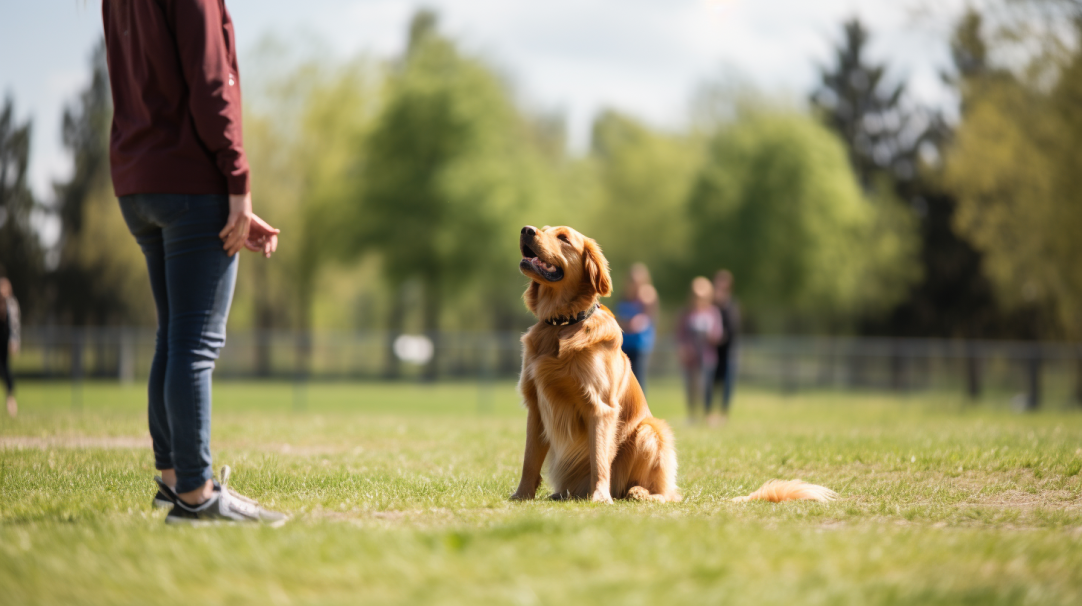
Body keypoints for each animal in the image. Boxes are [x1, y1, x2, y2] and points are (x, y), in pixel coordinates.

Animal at [506, 225, 675, 504]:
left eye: (564, 238)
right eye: (543, 229)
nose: (526, 229)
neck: (562, 323)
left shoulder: (600, 406)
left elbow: (599, 458)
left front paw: (600, 497)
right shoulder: (536, 405)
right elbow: (529, 460)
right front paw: (522, 495)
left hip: (651, 430)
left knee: (668, 493)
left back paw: (638, 492)